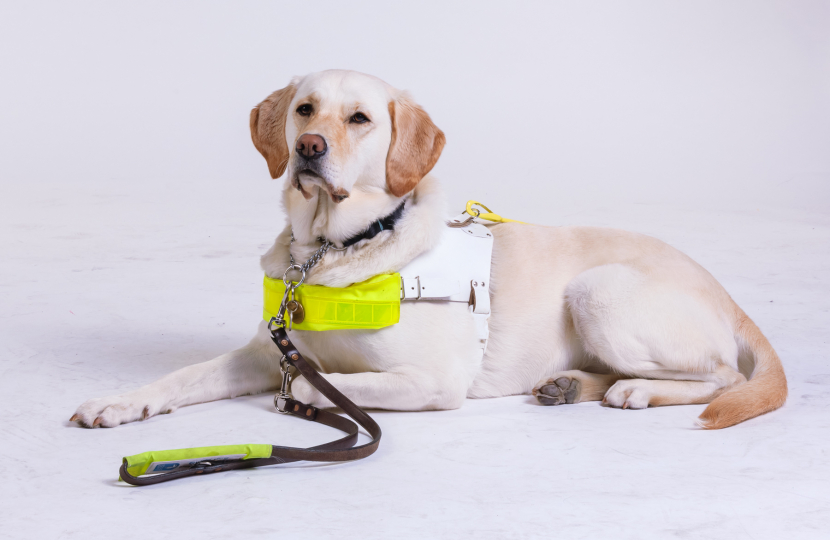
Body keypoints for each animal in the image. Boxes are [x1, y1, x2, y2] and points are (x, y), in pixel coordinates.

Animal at [70, 68, 788, 430]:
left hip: (598, 292)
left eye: (359, 119)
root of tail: (725, 292)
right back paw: (570, 384)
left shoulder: (431, 380)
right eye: (304, 109)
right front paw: (122, 401)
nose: (308, 149)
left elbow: (331, 381)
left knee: (722, 377)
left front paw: (307, 395)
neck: (335, 249)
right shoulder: (266, 349)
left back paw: (635, 390)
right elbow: (190, 374)